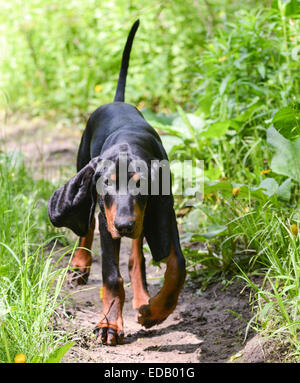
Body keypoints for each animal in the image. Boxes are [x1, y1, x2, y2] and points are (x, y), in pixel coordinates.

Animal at [47, 19, 185, 346]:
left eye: (141, 184)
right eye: (106, 184)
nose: (123, 225)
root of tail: (116, 102)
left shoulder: (162, 210)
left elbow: (176, 265)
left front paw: (156, 310)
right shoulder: (106, 214)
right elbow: (111, 275)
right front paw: (110, 324)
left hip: (140, 217)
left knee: (136, 255)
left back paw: (143, 297)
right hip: (87, 174)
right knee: (87, 227)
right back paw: (81, 265)